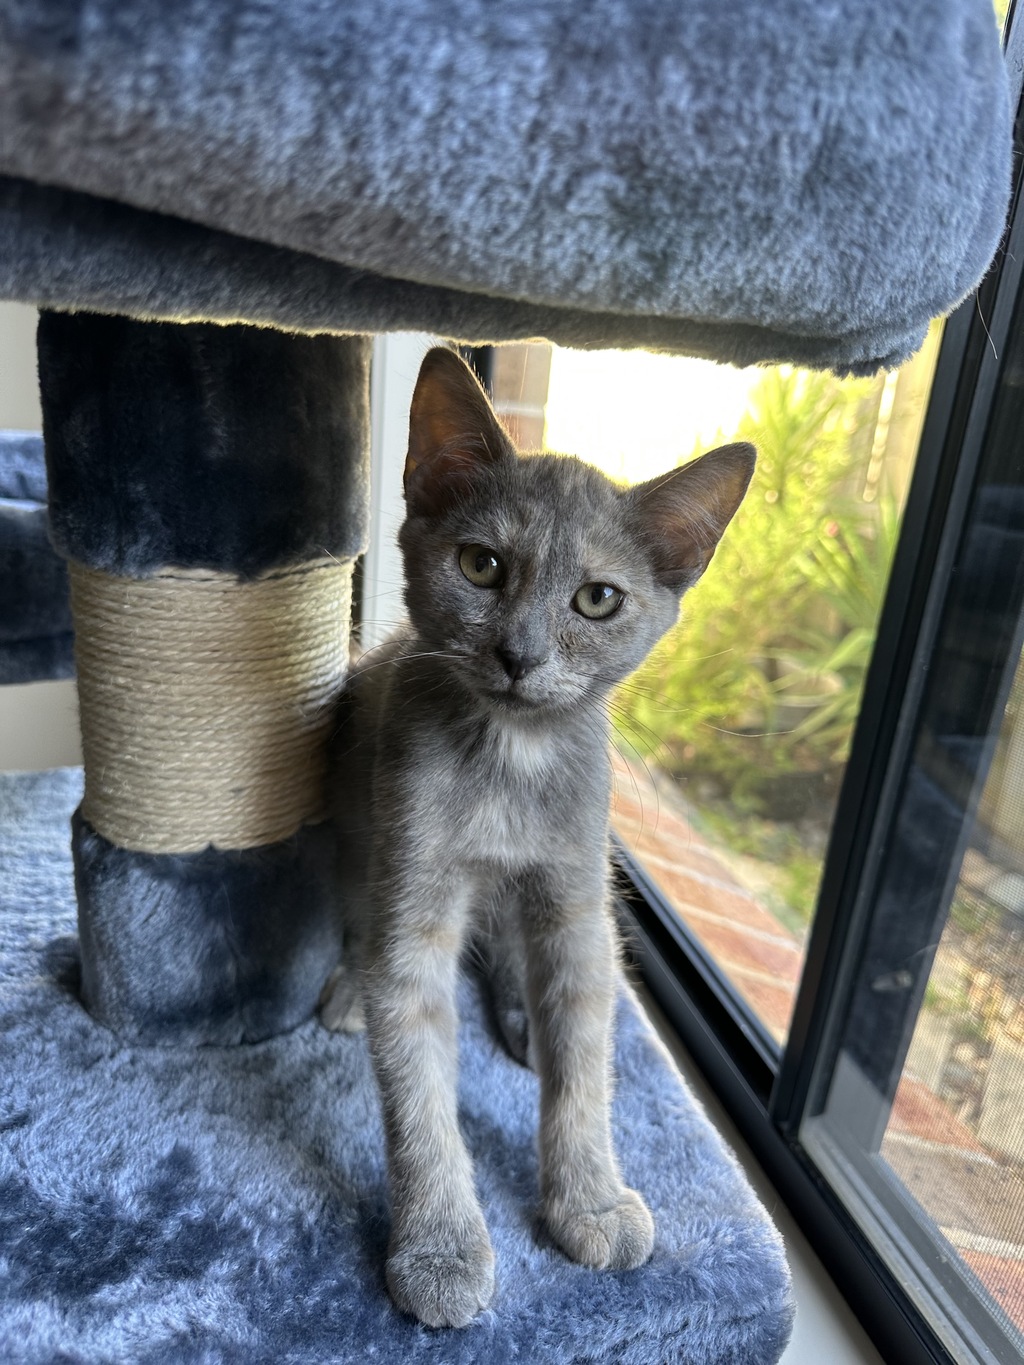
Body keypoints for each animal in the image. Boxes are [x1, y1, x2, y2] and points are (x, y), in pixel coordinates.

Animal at [319, 346, 755, 1328]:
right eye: (481, 565)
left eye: (597, 598)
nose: (519, 655)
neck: (509, 766)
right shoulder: (413, 895)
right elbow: (418, 1094)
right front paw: (441, 1247)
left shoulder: (577, 899)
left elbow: (586, 1063)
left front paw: (589, 1200)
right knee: (358, 927)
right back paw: (348, 992)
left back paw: (520, 1016)